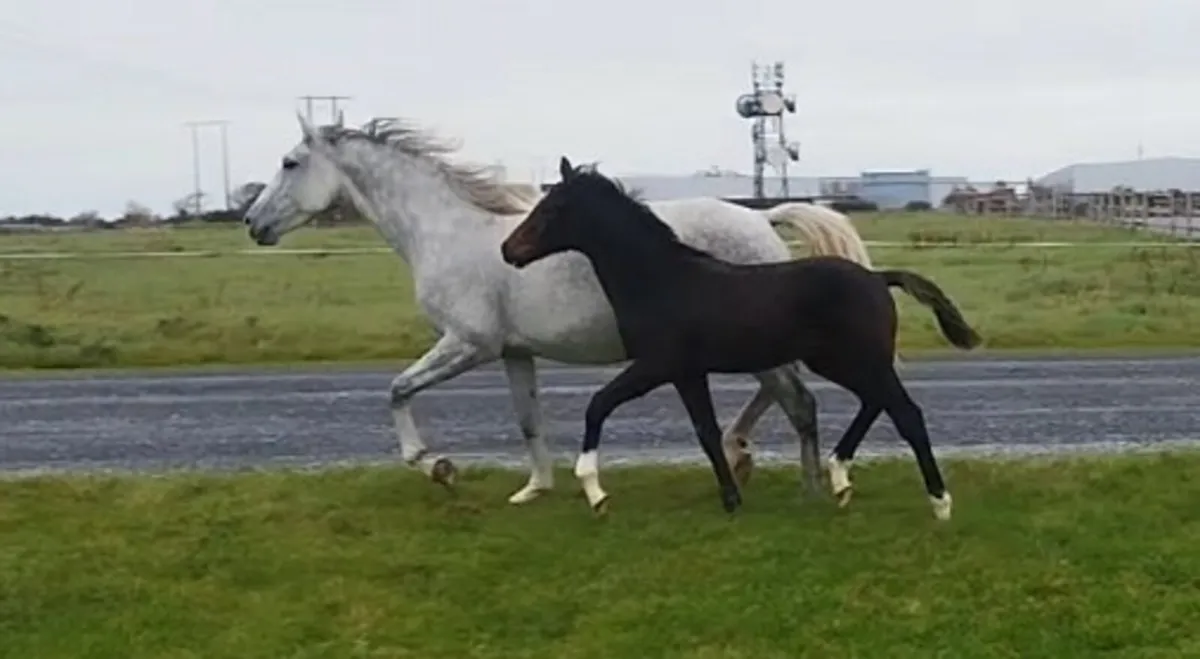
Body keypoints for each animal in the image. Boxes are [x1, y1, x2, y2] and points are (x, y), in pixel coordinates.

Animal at [242, 112, 877, 505]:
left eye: (290, 163)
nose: (252, 223)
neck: (445, 233)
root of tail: (762, 218)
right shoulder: (513, 353)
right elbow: (528, 418)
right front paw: (535, 489)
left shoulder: (467, 344)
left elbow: (398, 390)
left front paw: (438, 467)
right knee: (781, 395)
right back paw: (744, 454)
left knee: (794, 398)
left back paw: (789, 475)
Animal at [500, 157, 982, 520]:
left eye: (552, 209)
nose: (508, 250)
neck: (661, 281)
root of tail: (878, 279)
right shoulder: (687, 373)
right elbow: (706, 431)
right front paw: (732, 499)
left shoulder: (656, 365)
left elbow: (599, 404)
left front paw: (595, 492)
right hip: (840, 362)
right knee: (875, 403)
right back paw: (840, 478)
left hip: (857, 360)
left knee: (906, 413)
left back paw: (939, 503)